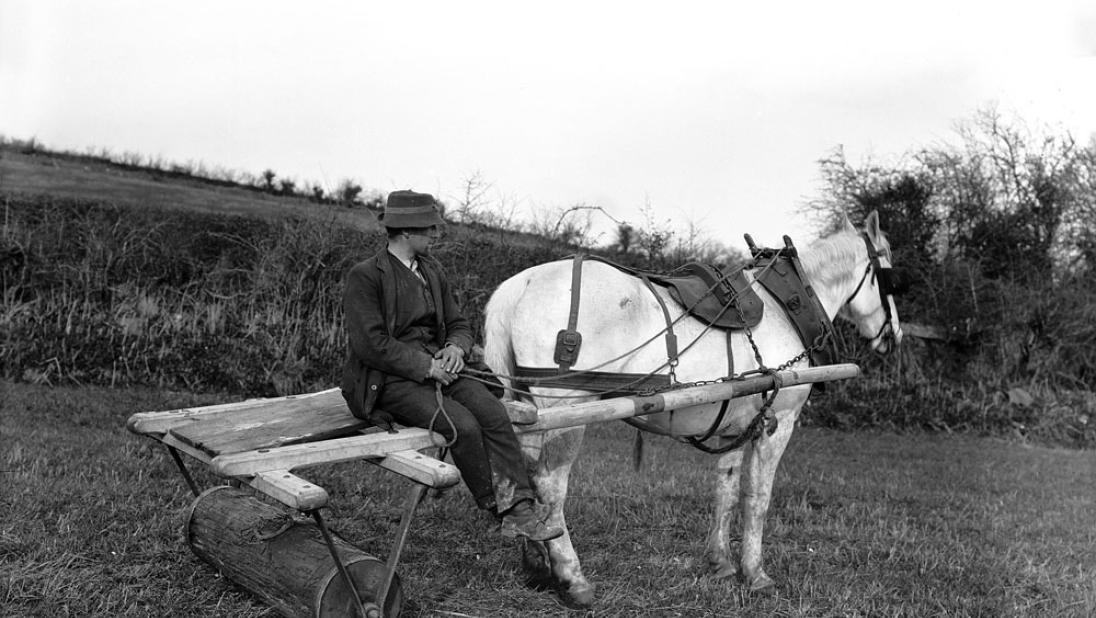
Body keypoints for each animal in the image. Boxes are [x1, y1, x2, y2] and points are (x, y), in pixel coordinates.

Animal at [484, 210, 903, 604]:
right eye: (890, 275)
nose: (895, 336)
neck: (785, 305)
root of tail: (518, 286)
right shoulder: (778, 421)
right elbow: (758, 499)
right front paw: (756, 573)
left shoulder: (737, 424)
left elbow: (726, 489)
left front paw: (721, 563)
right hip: (566, 409)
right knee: (550, 487)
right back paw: (572, 578)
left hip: (529, 410)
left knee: (523, 474)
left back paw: (537, 564)